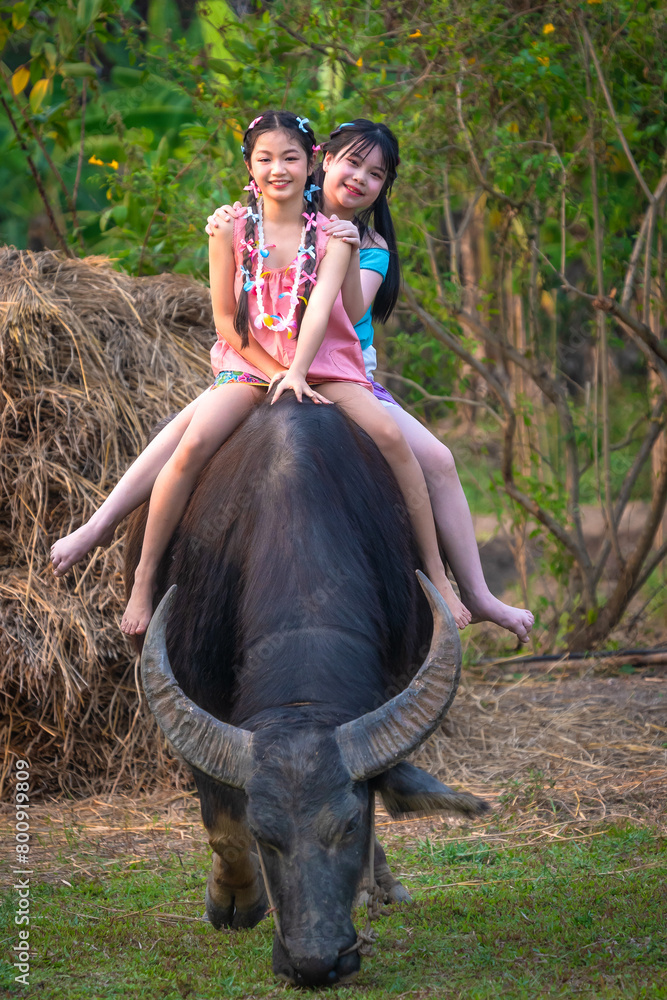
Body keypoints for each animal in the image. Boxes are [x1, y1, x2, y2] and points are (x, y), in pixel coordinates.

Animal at [126, 393, 487, 987]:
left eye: (349, 824)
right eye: (265, 833)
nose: (315, 963)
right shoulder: (193, 685)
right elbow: (222, 824)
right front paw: (236, 900)